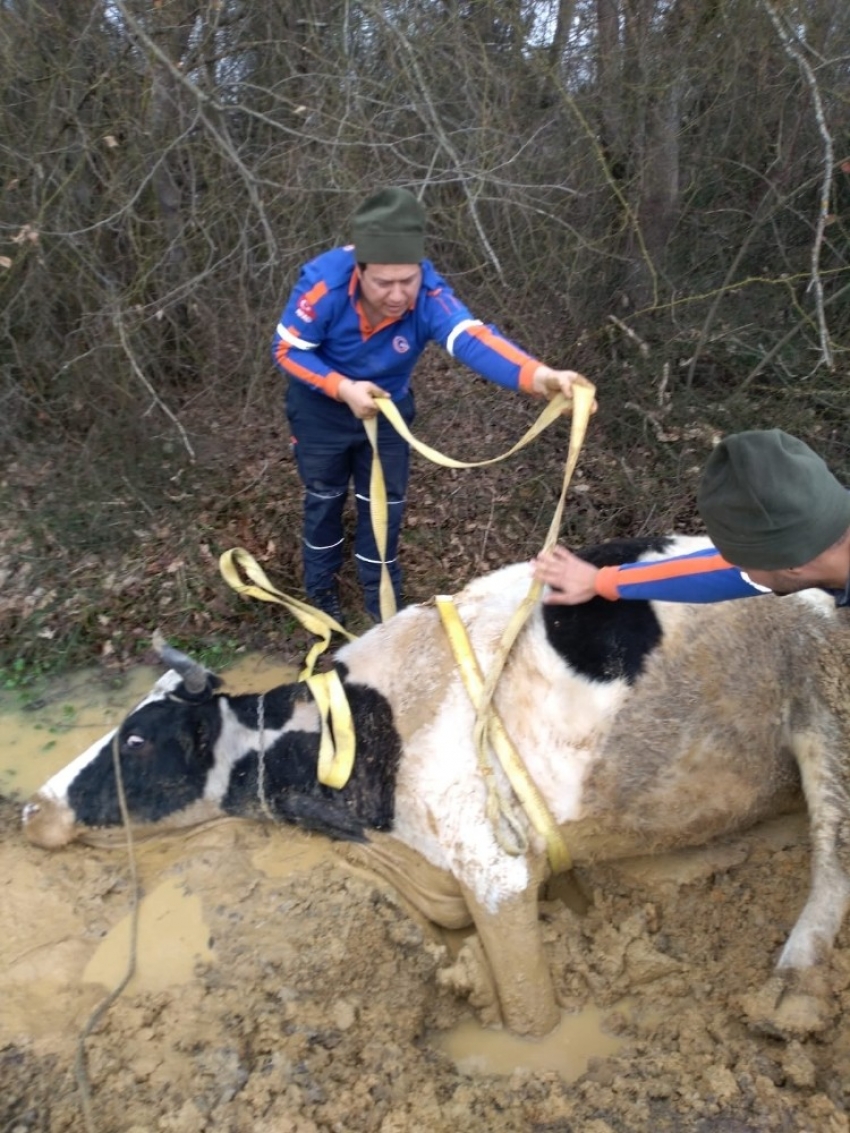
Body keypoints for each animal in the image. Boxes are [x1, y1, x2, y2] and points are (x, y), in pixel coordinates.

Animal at [18, 534, 850, 1037]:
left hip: (825, 703)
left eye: (134, 739)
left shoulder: (494, 869)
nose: (30, 807)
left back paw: (789, 993)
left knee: (832, 854)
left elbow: (529, 1016)